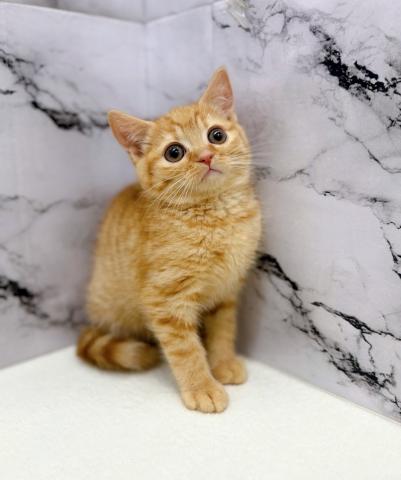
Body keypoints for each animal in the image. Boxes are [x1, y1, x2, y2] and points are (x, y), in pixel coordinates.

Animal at [77, 67, 262, 413]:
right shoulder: (165, 299)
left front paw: (223, 363)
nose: (205, 157)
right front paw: (202, 387)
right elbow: (186, 349)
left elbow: (223, 329)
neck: (216, 215)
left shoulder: (227, 289)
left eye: (216, 135)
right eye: (174, 153)